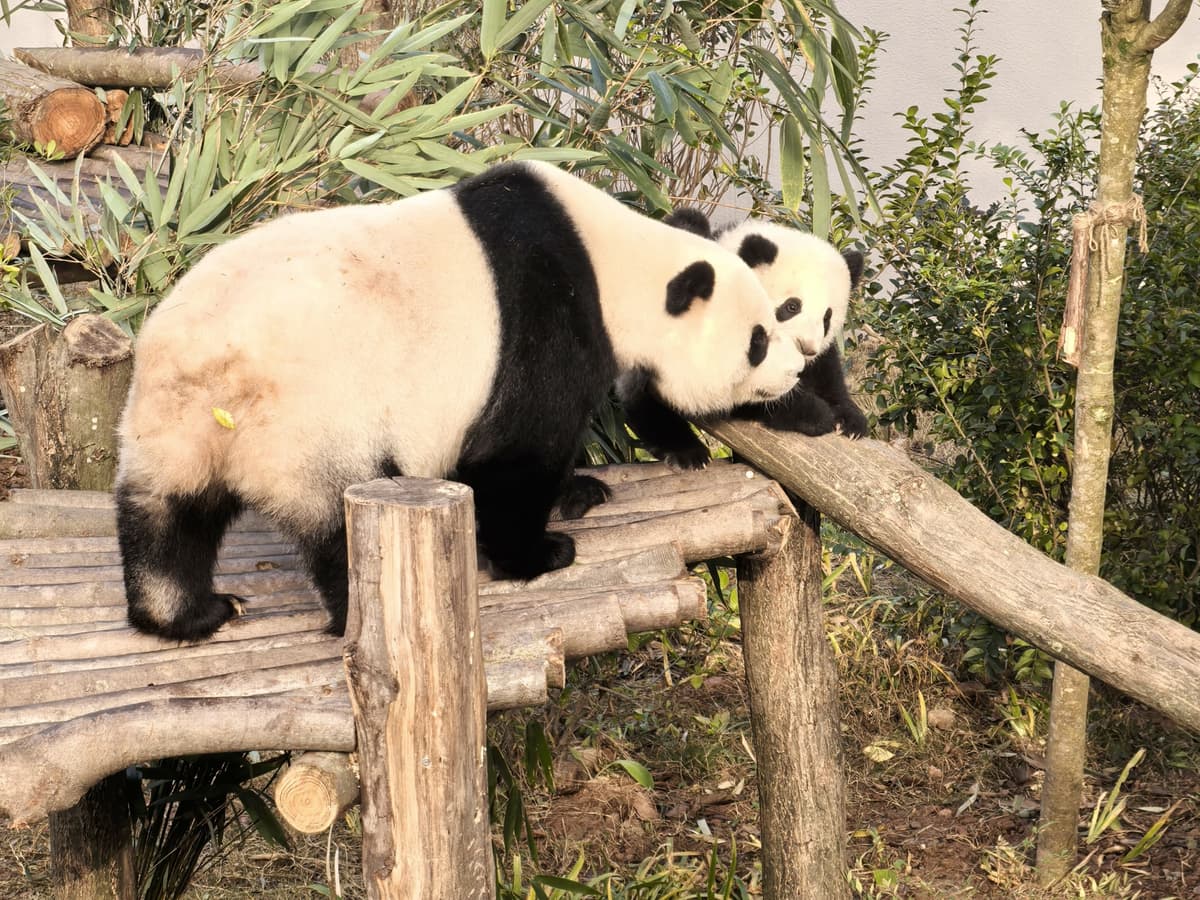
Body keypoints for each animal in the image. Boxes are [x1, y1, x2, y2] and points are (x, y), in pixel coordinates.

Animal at [116, 161, 806, 641]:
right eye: (757, 339)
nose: (797, 369)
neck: (614, 260)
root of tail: (215, 373)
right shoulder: (542, 318)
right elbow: (516, 452)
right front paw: (540, 552)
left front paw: (583, 490)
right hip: (313, 418)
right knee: (339, 519)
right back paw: (352, 615)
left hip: (170, 419)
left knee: (166, 513)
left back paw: (188, 613)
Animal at [613, 210, 866, 471]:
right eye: (792, 306)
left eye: (827, 318)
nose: (807, 348)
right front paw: (815, 414)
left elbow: (827, 373)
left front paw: (850, 419)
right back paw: (687, 452)